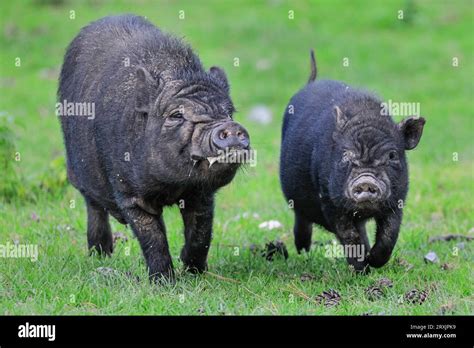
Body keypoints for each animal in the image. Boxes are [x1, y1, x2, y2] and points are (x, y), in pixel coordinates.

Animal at [57, 16, 250, 282]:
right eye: (176, 115)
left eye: (229, 112)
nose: (230, 127)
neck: (172, 187)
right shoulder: (130, 194)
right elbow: (153, 238)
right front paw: (164, 281)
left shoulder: (201, 195)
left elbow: (201, 233)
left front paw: (194, 272)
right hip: (78, 174)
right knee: (94, 208)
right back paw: (101, 255)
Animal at [280, 50, 428, 270]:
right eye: (346, 155)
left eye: (392, 155)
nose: (366, 181)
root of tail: (311, 81)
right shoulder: (330, 200)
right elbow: (349, 235)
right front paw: (361, 268)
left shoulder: (398, 200)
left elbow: (389, 234)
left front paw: (373, 261)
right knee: (302, 219)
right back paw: (302, 250)